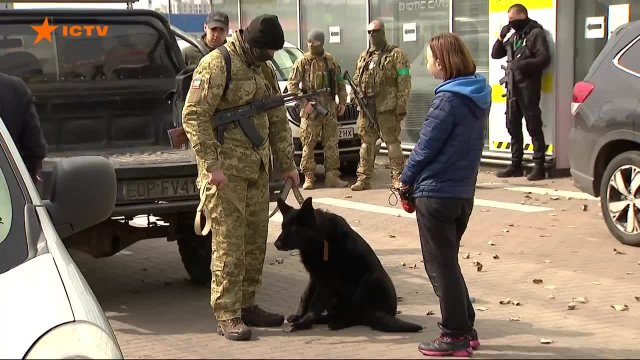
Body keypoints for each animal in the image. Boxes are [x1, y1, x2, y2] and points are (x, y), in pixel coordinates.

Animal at [276, 197, 422, 332]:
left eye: (292, 230)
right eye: (283, 227)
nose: (276, 244)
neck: (321, 239)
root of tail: (384, 313)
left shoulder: (326, 280)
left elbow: (316, 303)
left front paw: (304, 322)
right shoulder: (315, 276)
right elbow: (305, 295)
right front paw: (299, 316)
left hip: (369, 281)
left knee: (358, 315)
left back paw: (338, 322)